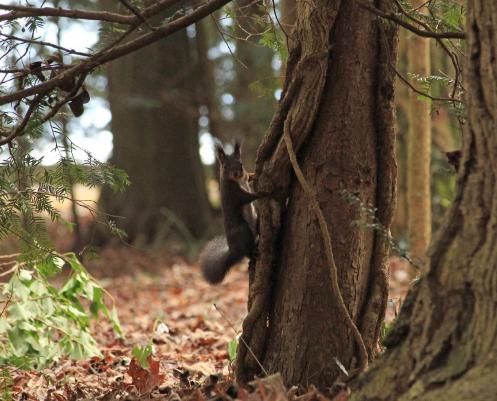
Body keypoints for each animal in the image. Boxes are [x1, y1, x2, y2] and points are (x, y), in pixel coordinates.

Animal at [200, 141, 264, 284]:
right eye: (225, 166)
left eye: (241, 163)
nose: (237, 173)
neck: (238, 180)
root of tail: (234, 250)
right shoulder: (234, 193)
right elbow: (248, 197)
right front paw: (264, 193)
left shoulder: (244, 178)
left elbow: (248, 177)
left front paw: (254, 175)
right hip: (242, 230)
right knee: (247, 252)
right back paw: (253, 253)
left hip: (254, 219)